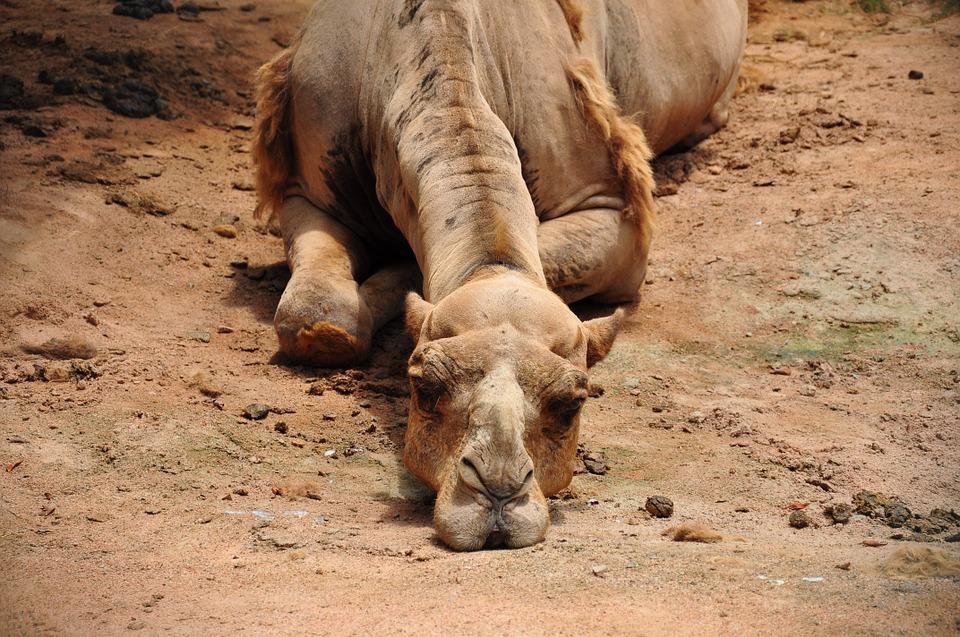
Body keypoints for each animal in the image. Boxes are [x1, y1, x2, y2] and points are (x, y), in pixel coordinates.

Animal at [252, 0, 748, 550]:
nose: (497, 492)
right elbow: (316, 316)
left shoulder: (613, 209)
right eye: (423, 387)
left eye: (571, 404)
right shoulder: (305, 188)